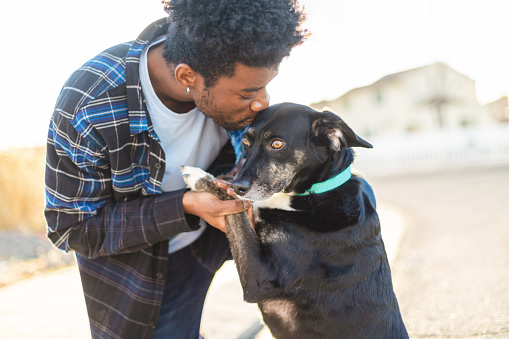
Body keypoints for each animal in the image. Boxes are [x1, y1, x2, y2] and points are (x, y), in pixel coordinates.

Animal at [181, 103, 406, 339]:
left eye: (277, 144)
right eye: (246, 142)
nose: (238, 186)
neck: (315, 192)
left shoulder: (260, 279)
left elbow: (234, 207)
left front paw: (198, 177)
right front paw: (216, 177)